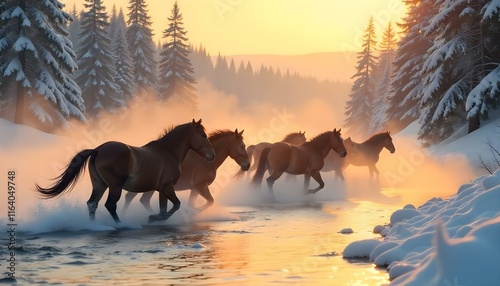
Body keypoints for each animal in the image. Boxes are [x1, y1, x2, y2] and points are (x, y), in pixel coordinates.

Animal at [35, 118, 215, 223]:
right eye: (203, 135)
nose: (211, 156)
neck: (168, 152)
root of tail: (98, 150)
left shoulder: (162, 189)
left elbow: (165, 207)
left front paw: (155, 218)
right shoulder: (167, 187)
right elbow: (175, 205)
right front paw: (154, 218)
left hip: (100, 185)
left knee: (92, 204)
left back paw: (93, 225)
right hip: (115, 187)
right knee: (110, 205)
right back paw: (120, 225)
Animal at [123, 130, 252, 212]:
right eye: (242, 146)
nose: (247, 165)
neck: (205, 161)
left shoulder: (195, 189)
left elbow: (194, 203)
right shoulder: (200, 186)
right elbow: (210, 201)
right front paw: (193, 212)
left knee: (135, 199)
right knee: (139, 199)